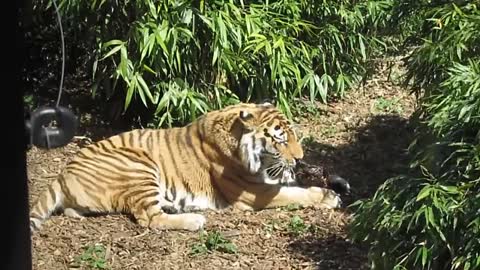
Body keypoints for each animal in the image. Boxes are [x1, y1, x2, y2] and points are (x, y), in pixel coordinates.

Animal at [30, 102, 342, 232]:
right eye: (280, 139)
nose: (300, 158)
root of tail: (62, 173)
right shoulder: (253, 193)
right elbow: (295, 193)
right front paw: (329, 197)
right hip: (139, 164)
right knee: (150, 220)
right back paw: (194, 220)